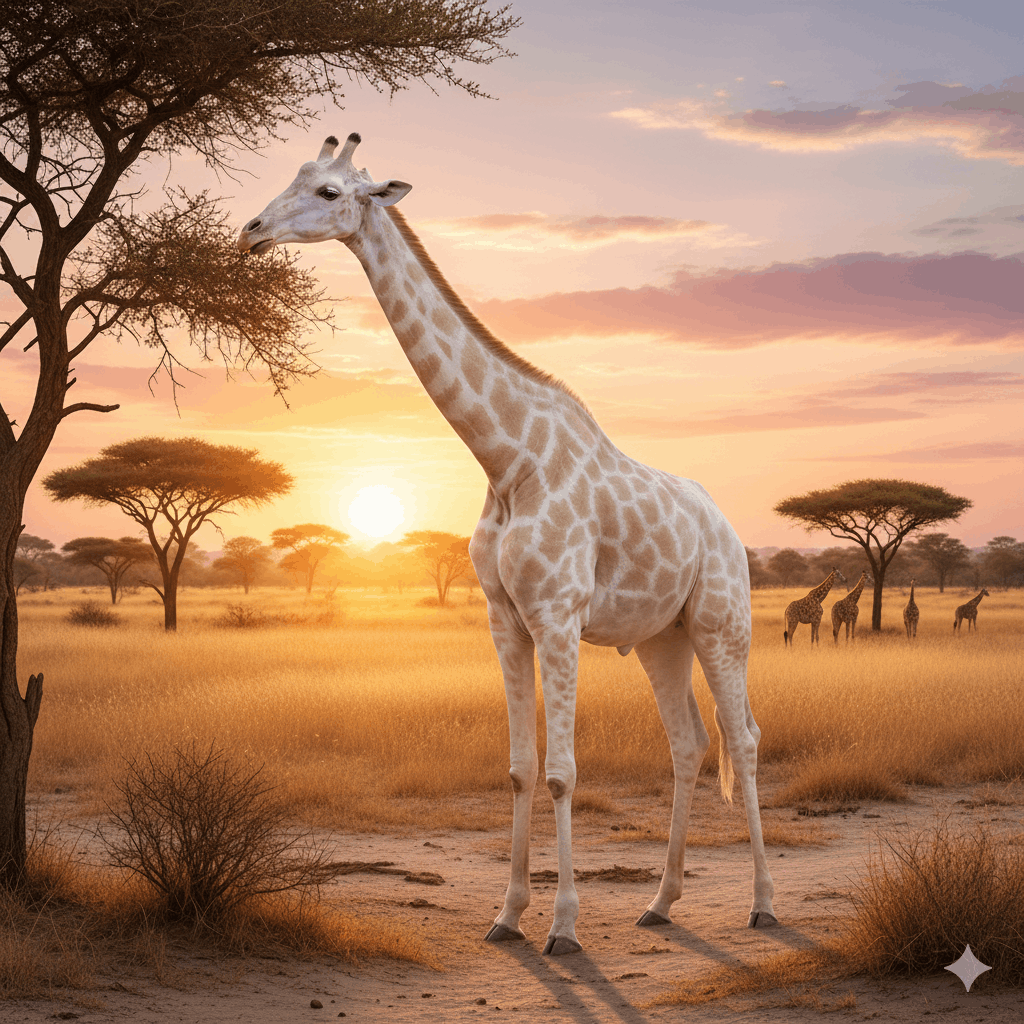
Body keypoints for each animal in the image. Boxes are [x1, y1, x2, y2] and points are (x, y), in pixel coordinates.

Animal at [237, 133, 778, 954]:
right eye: (294, 175)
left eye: (329, 192)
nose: (252, 231)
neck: (506, 458)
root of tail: (726, 526)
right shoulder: (504, 618)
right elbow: (522, 768)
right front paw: (509, 914)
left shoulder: (556, 614)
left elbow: (561, 771)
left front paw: (564, 927)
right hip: (664, 635)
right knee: (688, 743)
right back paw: (660, 902)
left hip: (723, 623)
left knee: (742, 739)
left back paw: (763, 903)